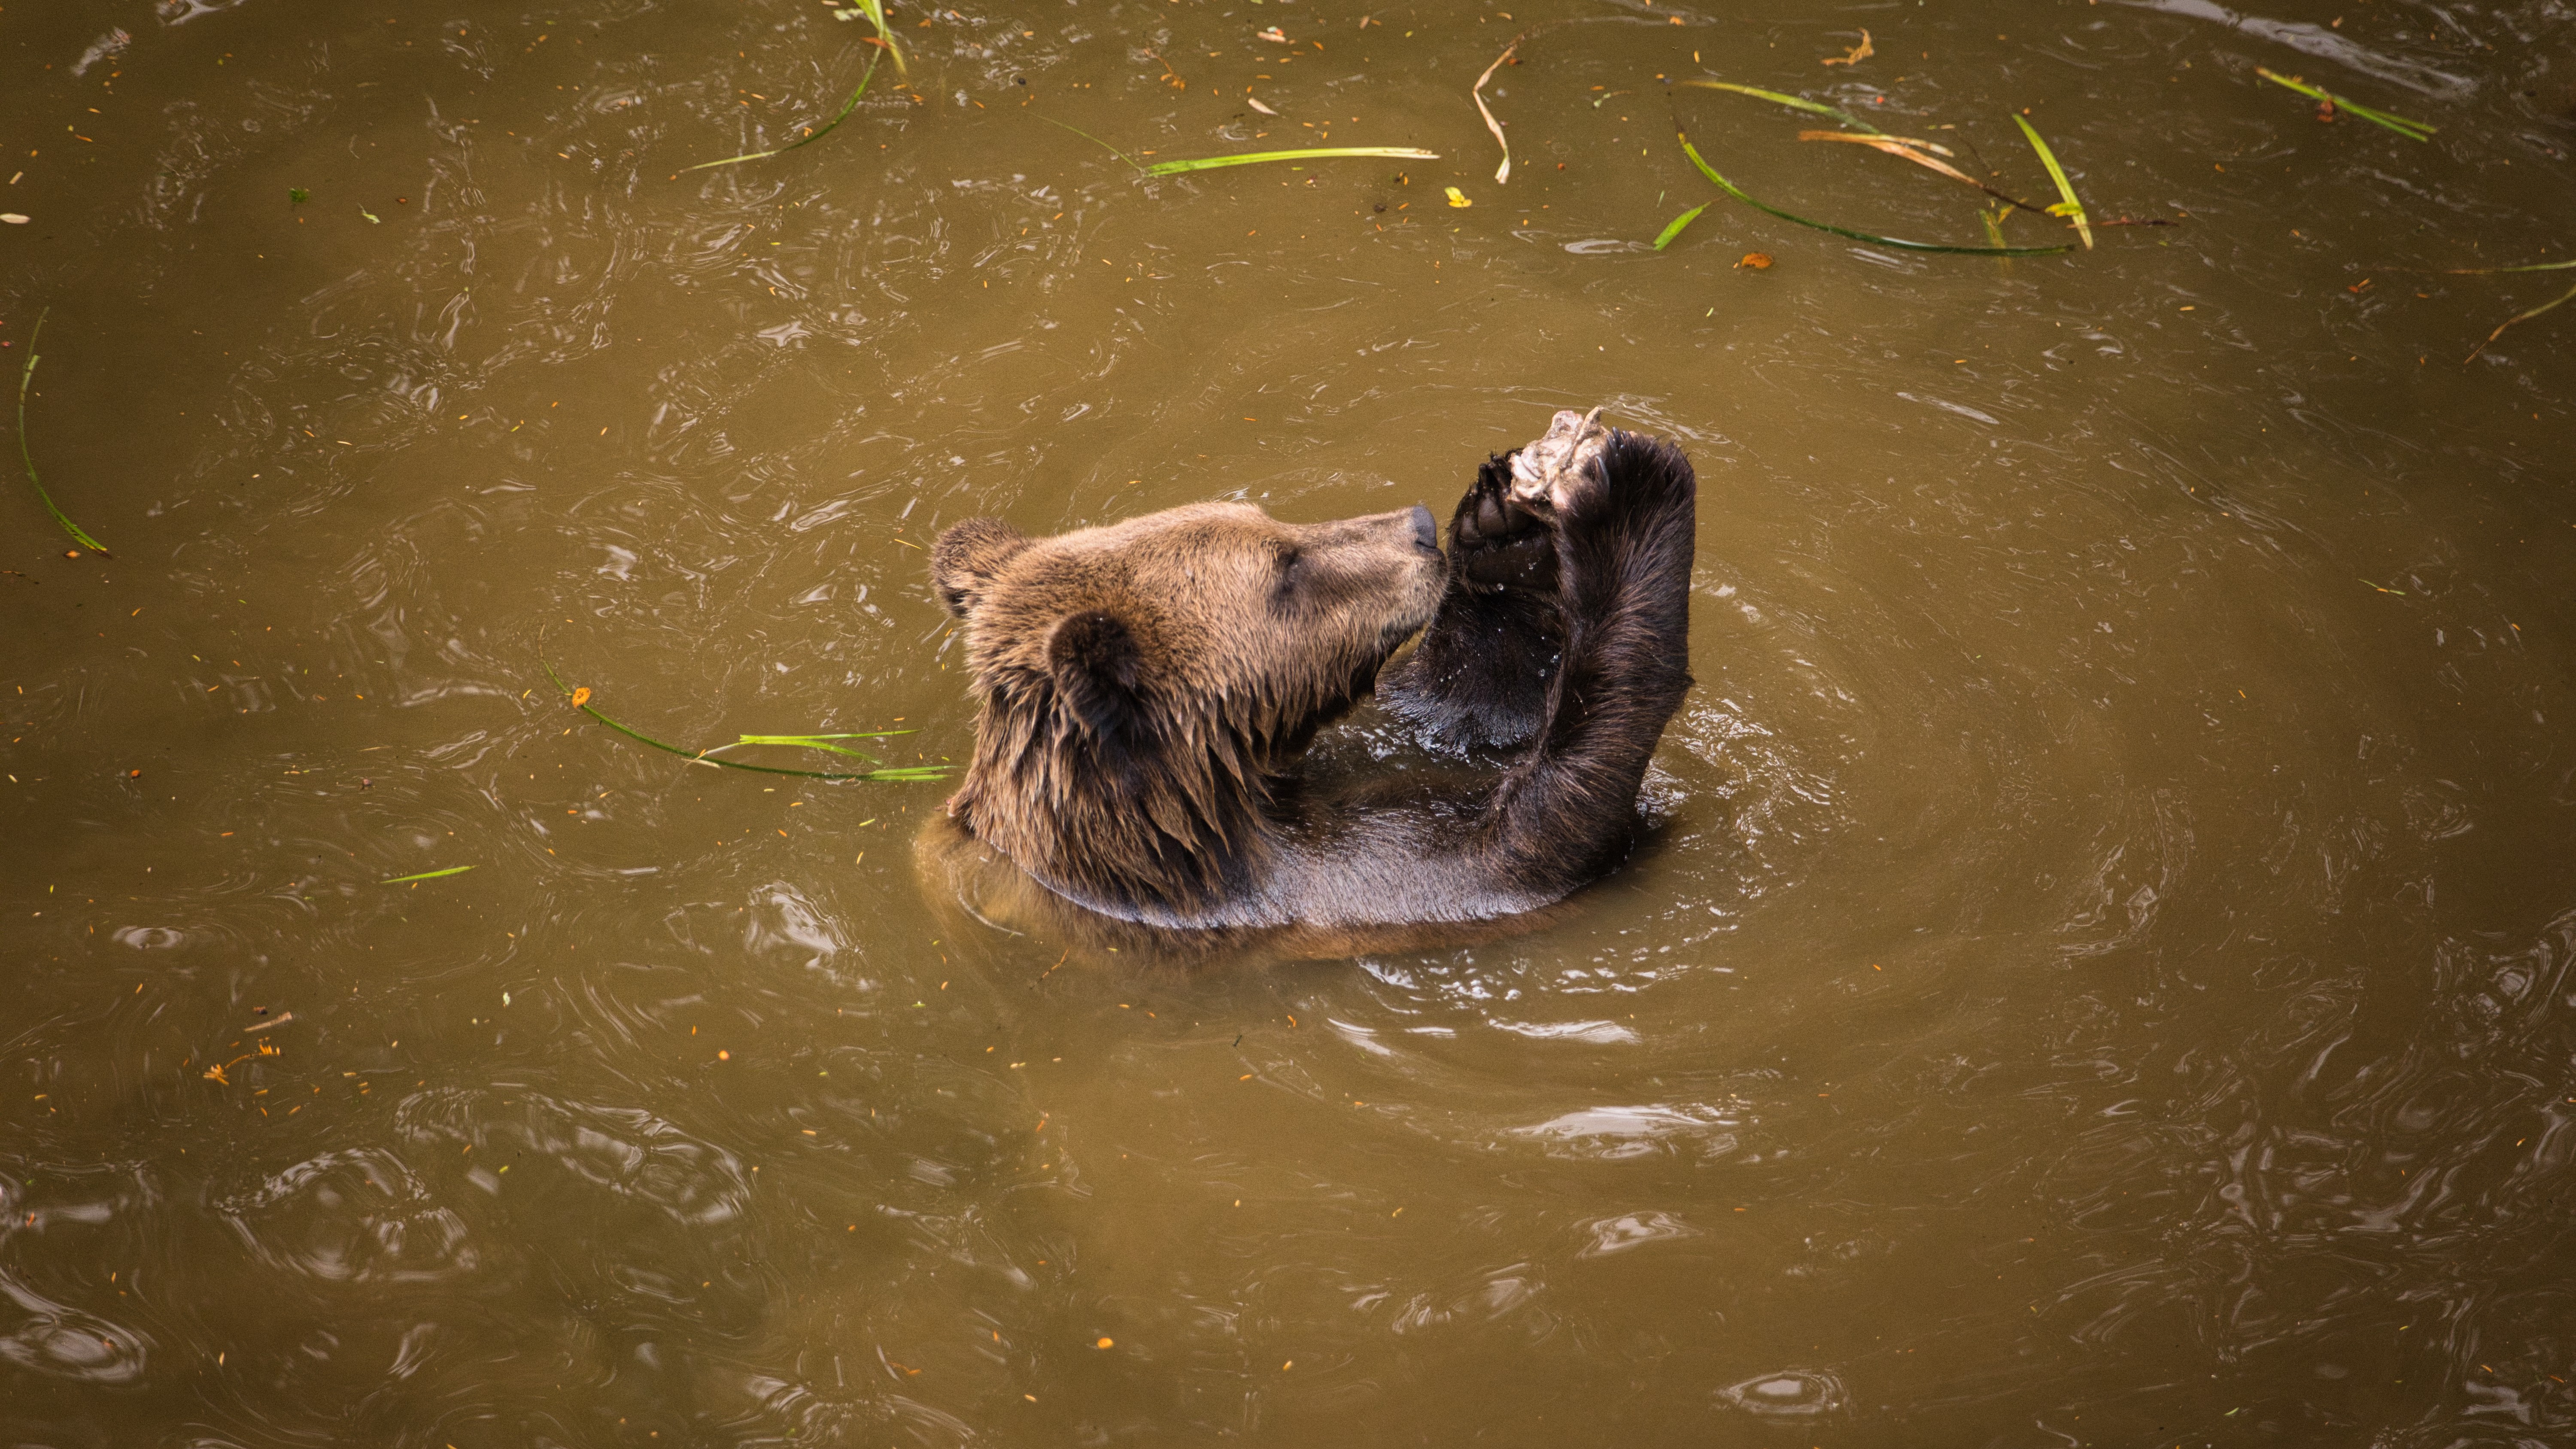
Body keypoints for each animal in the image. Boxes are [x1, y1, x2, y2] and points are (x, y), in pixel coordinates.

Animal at [917, 407, 1697, 962]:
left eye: (1271, 519)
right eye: (1285, 566)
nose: (1418, 527)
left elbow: (1461, 709)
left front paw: (1501, 524)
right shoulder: (1327, 892)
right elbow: (1544, 830)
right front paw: (1630, 497)